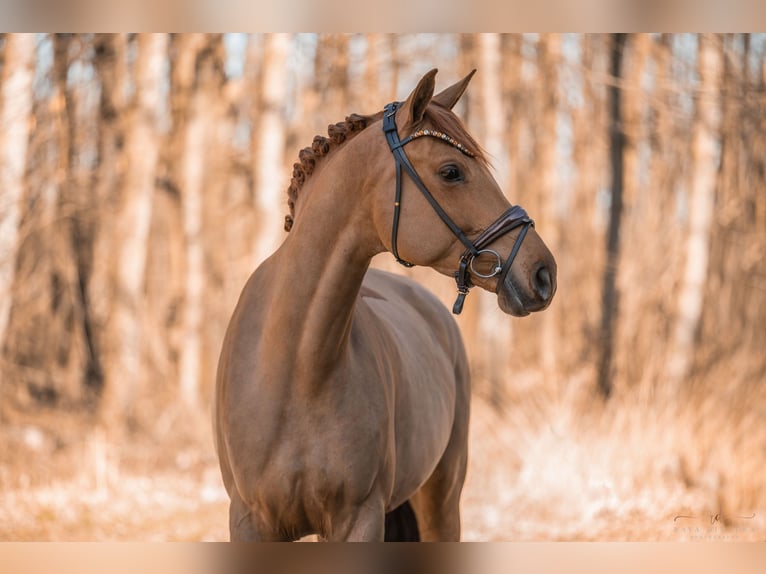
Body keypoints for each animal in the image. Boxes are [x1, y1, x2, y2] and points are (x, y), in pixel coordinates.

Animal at [216, 70, 560, 544]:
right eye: (451, 171)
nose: (543, 273)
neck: (293, 368)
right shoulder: (249, 522)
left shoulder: (359, 519)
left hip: (442, 499)